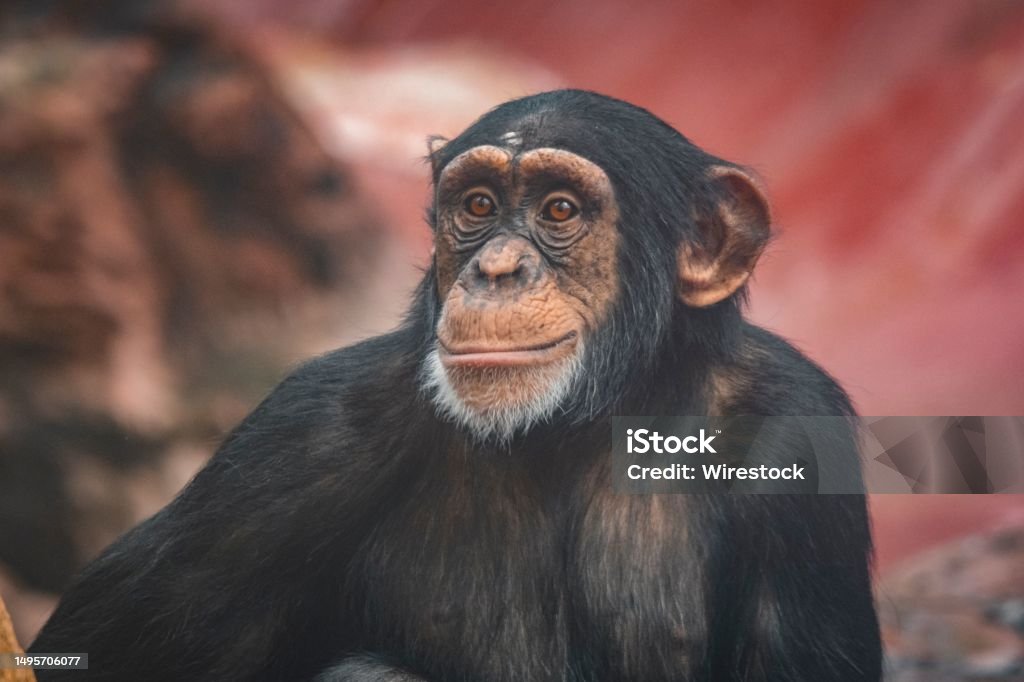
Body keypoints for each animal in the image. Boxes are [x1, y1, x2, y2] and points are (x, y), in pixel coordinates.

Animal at [31, 89, 881, 681]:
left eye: (560, 209)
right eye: (477, 206)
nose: (496, 268)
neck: (575, 422)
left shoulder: (796, 432)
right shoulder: (300, 436)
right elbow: (99, 646)